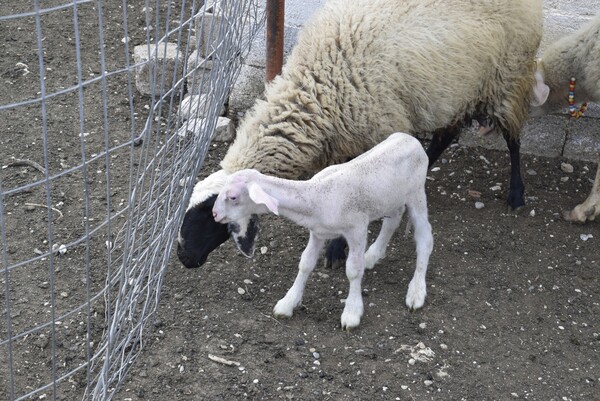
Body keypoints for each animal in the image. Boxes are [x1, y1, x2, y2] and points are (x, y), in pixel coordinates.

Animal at [178, 0, 544, 268]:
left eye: (210, 214)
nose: (184, 258)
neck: (316, 88)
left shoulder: (379, 127)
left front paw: (337, 250)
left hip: (509, 76)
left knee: (513, 138)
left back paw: (516, 193)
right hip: (461, 89)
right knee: (446, 135)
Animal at [211, 134, 432, 328]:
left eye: (232, 197)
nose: (214, 214)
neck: (315, 196)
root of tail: (411, 139)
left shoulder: (357, 229)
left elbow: (353, 270)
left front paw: (352, 312)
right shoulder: (317, 232)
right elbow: (305, 263)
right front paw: (288, 302)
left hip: (416, 193)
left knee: (425, 237)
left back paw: (416, 291)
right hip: (391, 197)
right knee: (393, 219)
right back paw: (373, 255)